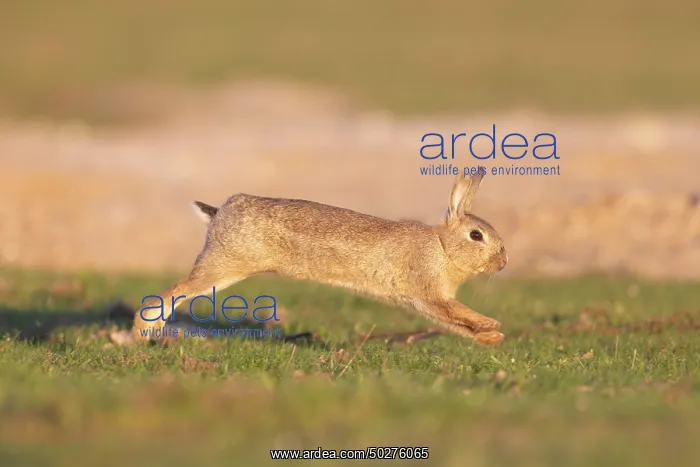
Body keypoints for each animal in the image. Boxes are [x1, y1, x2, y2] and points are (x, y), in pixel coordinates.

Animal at [127, 171, 508, 346]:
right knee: (173, 292)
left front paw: (492, 337)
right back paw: (142, 334)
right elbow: (460, 313)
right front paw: (493, 325)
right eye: (477, 236)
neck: (443, 247)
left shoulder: (423, 301)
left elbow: (456, 323)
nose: (503, 264)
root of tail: (221, 211)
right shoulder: (429, 291)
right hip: (224, 265)